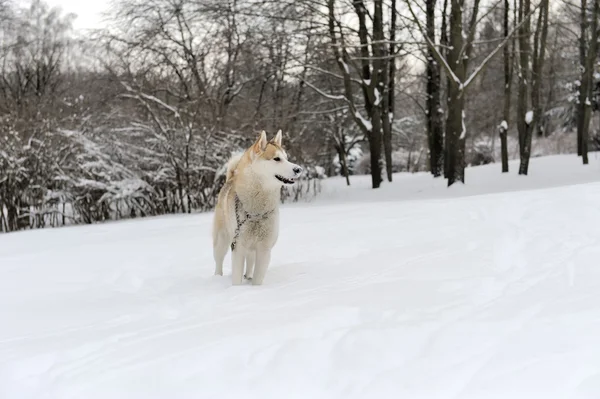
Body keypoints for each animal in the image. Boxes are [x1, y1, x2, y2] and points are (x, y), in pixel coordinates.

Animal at [213, 130, 302, 284]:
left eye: (286, 158)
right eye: (277, 159)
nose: (298, 169)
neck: (256, 212)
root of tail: (230, 179)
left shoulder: (264, 248)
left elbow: (257, 278)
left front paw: (253, 286)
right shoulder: (239, 246)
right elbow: (236, 277)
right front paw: (236, 288)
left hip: (251, 248)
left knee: (250, 262)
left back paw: (248, 276)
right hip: (222, 241)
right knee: (219, 261)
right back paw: (217, 278)